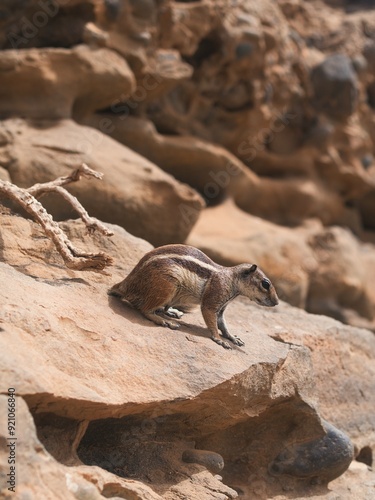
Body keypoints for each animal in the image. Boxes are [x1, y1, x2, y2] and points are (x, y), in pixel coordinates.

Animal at [108, 244, 280, 350]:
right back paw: (164, 320)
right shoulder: (213, 299)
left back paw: (172, 312)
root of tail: (126, 283)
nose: (277, 302)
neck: (231, 280)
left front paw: (232, 337)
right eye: (265, 284)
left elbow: (223, 324)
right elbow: (212, 321)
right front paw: (219, 340)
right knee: (144, 309)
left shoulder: (222, 308)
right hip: (167, 285)